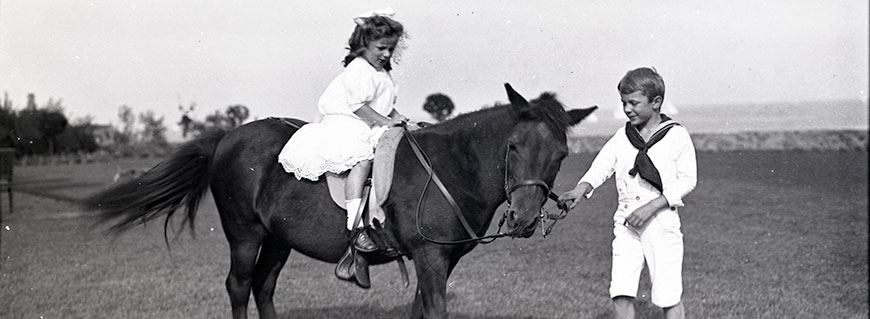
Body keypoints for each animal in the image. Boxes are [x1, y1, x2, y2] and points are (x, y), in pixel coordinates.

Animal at [82, 84, 596, 318]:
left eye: (560, 155)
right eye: (513, 147)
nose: (524, 219)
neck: (451, 167)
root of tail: (227, 137)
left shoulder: (437, 262)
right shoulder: (430, 258)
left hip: (278, 240)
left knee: (263, 287)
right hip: (244, 234)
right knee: (239, 286)